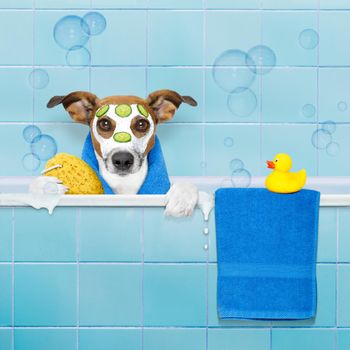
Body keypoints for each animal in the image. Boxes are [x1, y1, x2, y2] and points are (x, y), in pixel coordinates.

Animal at [31, 89, 200, 216]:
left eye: (141, 124)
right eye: (104, 123)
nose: (123, 160)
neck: (124, 185)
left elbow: (188, 184)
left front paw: (182, 198)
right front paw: (47, 187)